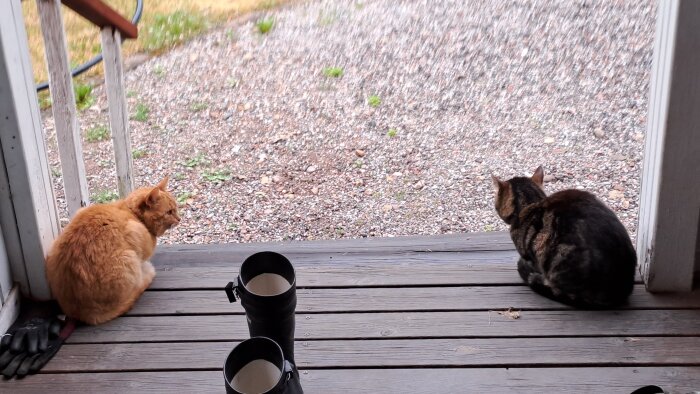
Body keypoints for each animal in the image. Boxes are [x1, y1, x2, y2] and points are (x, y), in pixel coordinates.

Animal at [44, 177, 179, 324]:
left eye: (176, 209)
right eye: (169, 212)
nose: (179, 219)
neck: (132, 214)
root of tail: (85, 314)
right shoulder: (135, 231)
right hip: (129, 258)